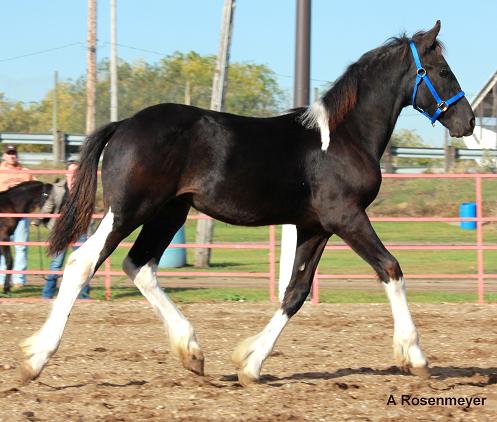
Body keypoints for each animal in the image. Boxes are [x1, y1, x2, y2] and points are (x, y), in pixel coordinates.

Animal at [21, 22, 474, 386]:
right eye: (443, 71)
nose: (467, 122)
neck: (343, 137)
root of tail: (123, 125)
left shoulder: (315, 227)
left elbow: (295, 293)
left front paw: (251, 364)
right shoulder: (346, 217)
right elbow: (390, 268)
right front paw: (415, 357)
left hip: (170, 212)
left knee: (140, 265)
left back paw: (191, 351)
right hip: (130, 209)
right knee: (84, 263)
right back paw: (36, 360)